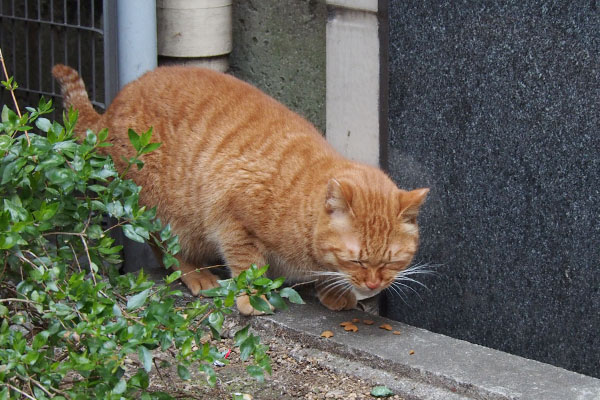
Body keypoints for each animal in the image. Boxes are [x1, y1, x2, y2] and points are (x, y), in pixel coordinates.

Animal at [51, 65, 426, 316]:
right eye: (357, 260)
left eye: (392, 261)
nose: (373, 285)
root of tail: (110, 109)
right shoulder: (232, 220)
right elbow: (248, 265)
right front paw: (253, 298)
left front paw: (330, 291)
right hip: (163, 212)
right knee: (166, 250)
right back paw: (197, 276)